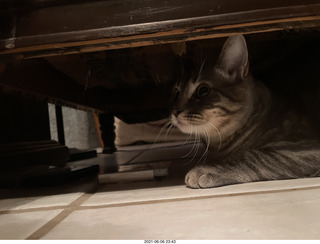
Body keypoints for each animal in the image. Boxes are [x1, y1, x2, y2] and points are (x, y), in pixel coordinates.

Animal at [171, 34, 320, 189]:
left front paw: (208, 169)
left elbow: (256, 156)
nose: (175, 111)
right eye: (176, 92)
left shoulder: (304, 148)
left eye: (203, 91)